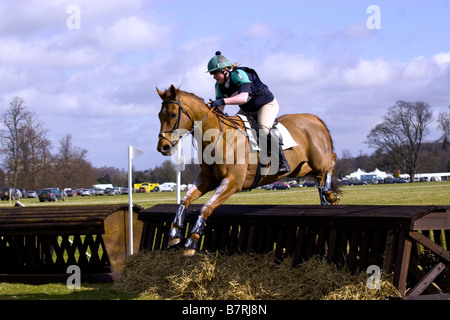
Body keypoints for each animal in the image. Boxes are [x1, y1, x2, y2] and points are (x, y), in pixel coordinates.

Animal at [156, 84, 340, 255]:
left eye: (172, 114)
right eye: (159, 115)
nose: (163, 147)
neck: (218, 137)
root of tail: (314, 118)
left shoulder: (232, 182)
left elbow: (206, 207)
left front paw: (191, 241)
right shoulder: (207, 179)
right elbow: (185, 199)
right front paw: (175, 234)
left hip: (318, 159)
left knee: (332, 159)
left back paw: (328, 192)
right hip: (301, 168)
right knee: (319, 175)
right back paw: (326, 197)